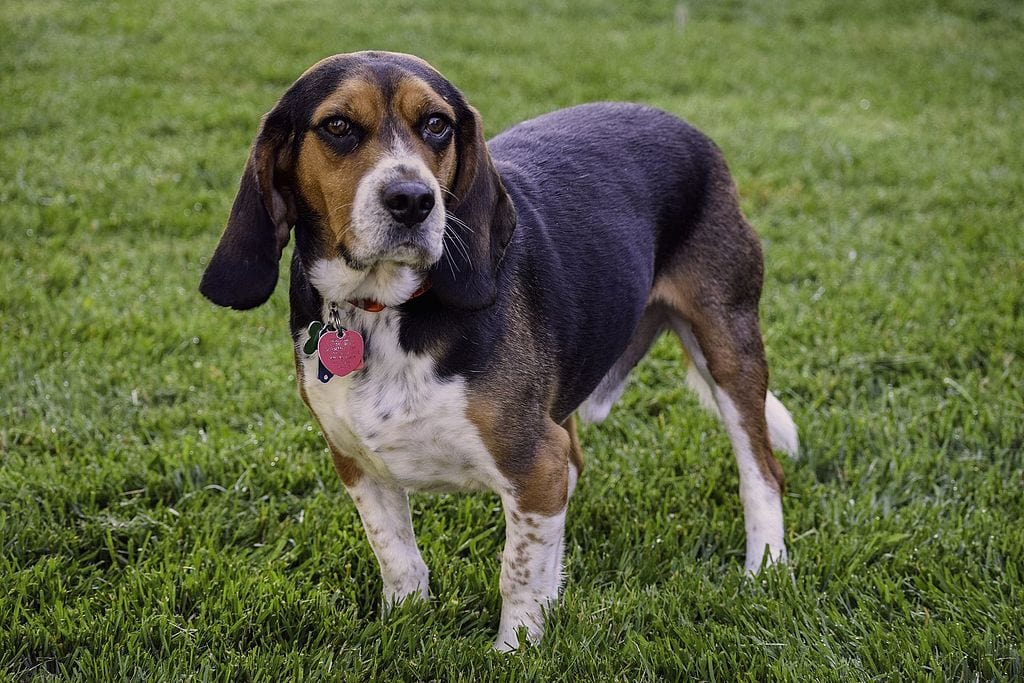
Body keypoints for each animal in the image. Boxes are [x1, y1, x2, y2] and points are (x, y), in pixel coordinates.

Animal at [199, 52, 798, 651]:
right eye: (338, 126)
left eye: (436, 124)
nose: (414, 201)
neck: (382, 310)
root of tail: (684, 127)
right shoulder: (356, 464)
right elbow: (396, 555)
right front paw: (406, 623)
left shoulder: (535, 460)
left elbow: (517, 569)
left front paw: (516, 649)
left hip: (727, 343)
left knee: (762, 472)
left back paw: (764, 566)